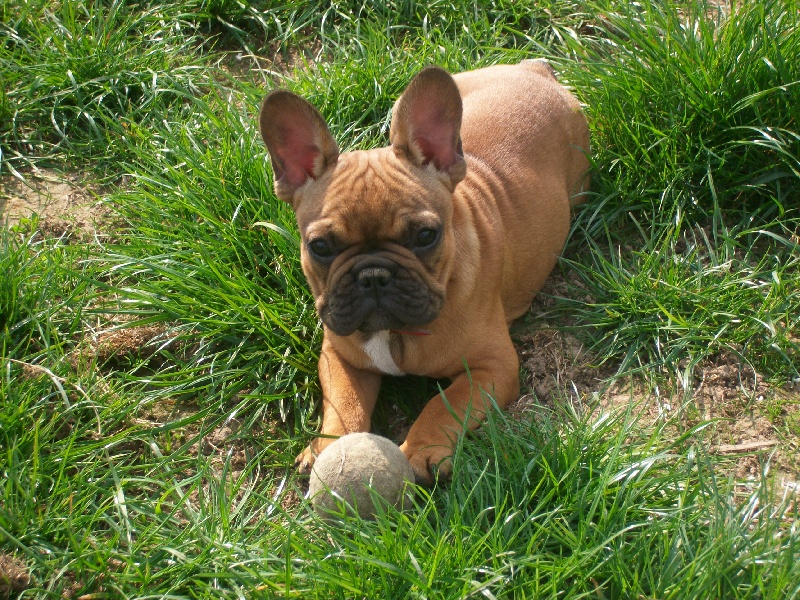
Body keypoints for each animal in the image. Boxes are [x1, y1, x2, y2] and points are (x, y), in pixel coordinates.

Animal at [260, 59, 592, 482]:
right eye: (320, 246)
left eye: (425, 235)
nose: (373, 275)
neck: (395, 334)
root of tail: (535, 68)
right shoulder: (339, 357)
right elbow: (343, 404)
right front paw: (326, 448)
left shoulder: (493, 367)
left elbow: (444, 404)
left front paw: (420, 451)